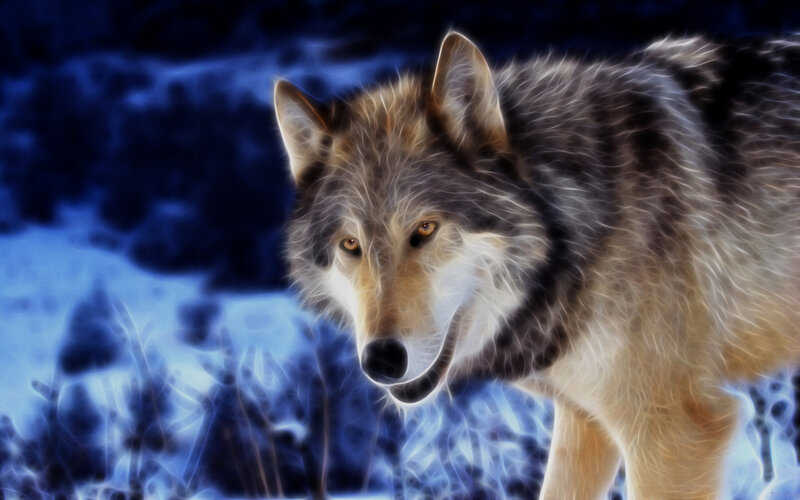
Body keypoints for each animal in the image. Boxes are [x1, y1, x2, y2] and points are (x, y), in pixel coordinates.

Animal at [274, 31, 800, 498]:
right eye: (351, 244)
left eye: (424, 229)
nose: (381, 360)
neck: (579, 220)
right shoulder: (585, 422)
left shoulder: (674, 430)